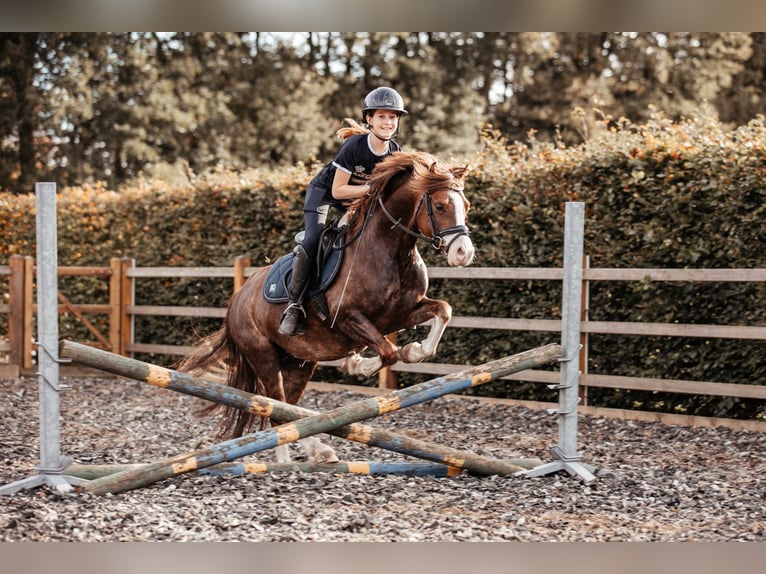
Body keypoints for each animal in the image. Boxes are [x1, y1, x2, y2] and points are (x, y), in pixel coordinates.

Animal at [181, 152, 476, 464]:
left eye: (467, 206)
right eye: (441, 206)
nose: (463, 253)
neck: (391, 251)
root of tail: (236, 299)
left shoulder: (400, 315)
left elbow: (442, 311)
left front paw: (415, 351)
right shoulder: (347, 318)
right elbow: (388, 352)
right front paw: (358, 365)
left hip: (300, 362)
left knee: (288, 410)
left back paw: (315, 451)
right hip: (264, 356)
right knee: (277, 408)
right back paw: (292, 459)